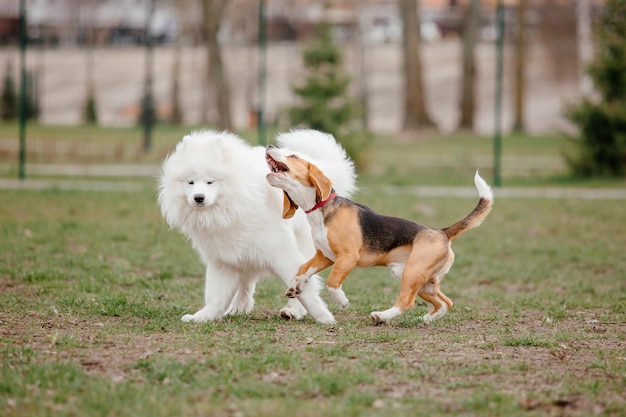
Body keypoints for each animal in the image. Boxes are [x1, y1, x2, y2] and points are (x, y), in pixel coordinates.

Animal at [156, 128, 356, 324]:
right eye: (190, 182)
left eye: (210, 182)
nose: (198, 198)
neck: (229, 208)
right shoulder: (223, 260)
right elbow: (216, 296)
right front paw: (203, 317)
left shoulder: (282, 252)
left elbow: (304, 289)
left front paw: (323, 317)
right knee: (246, 281)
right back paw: (238, 308)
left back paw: (292, 311)